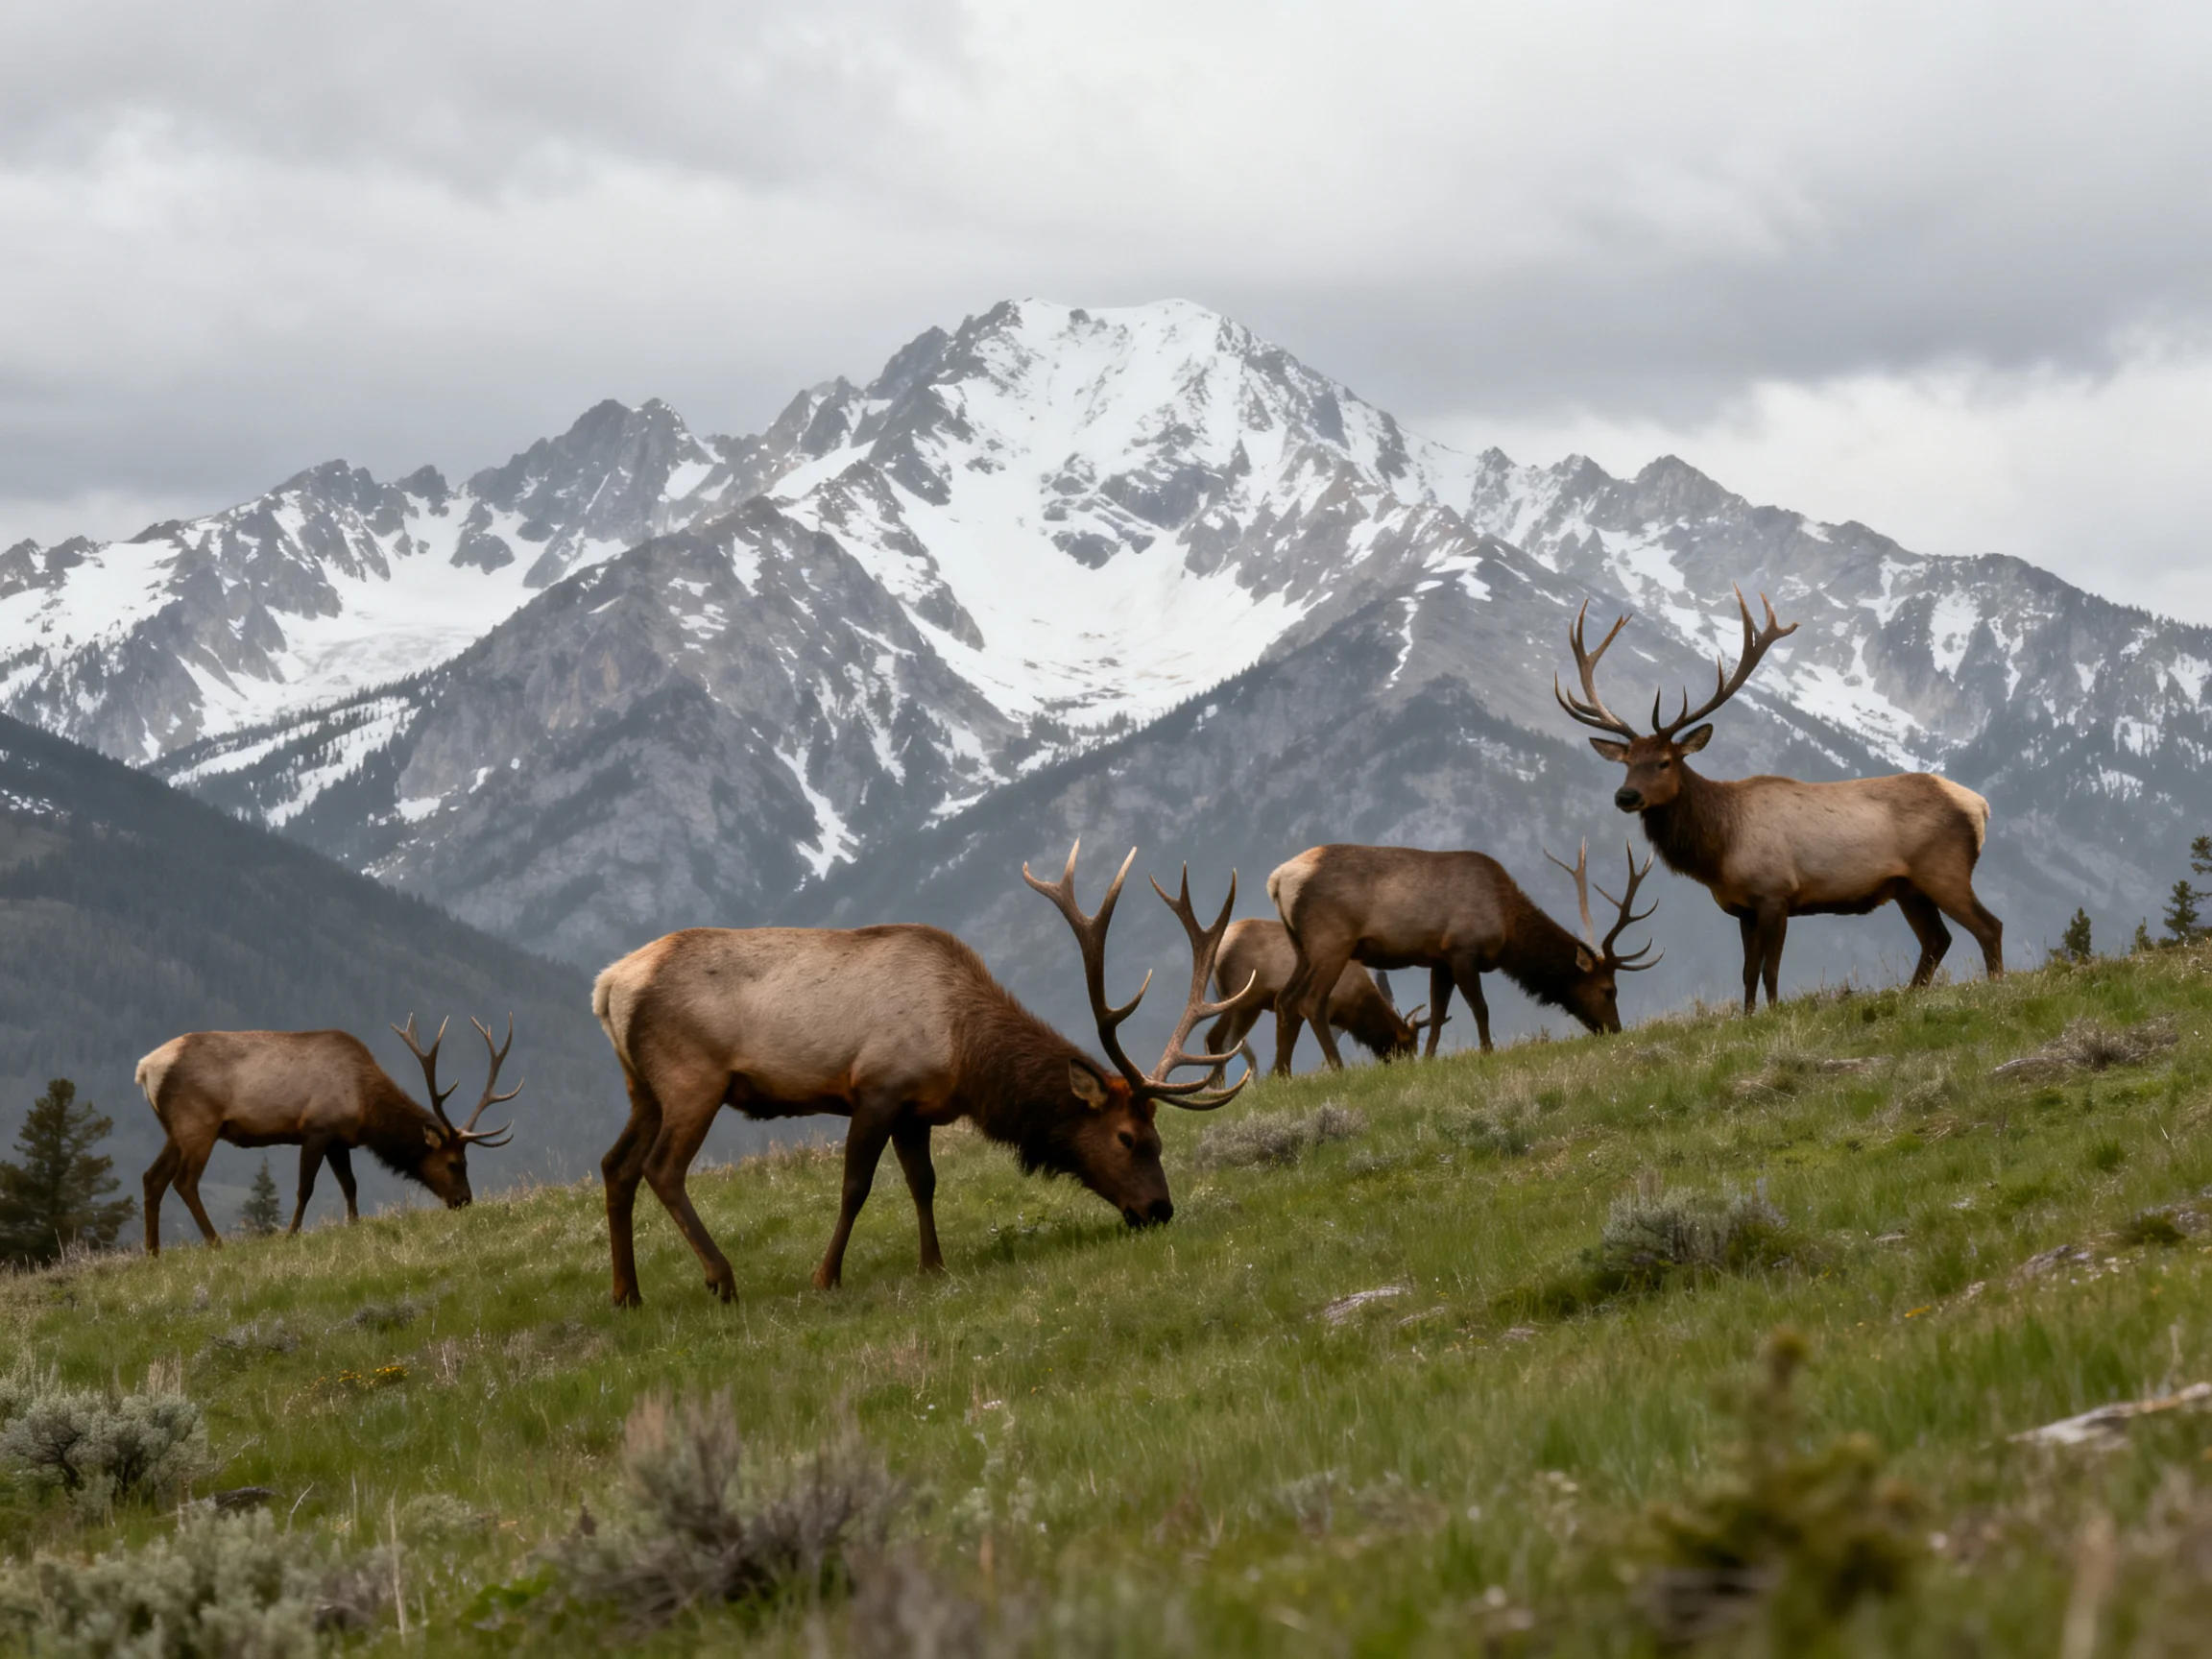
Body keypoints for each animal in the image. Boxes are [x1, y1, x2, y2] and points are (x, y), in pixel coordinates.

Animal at [136, 1016, 520, 1255]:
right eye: (454, 1162)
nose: (464, 1200)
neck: (365, 1105)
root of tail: (145, 1068)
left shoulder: (339, 1140)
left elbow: (350, 1185)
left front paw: (354, 1225)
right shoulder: (317, 1129)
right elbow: (305, 1188)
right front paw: (291, 1235)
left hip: (175, 1130)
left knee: (152, 1177)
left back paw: (153, 1253)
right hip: (198, 1124)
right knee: (184, 1181)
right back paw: (215, 1244)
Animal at [590, 842, 1252, 1306]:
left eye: (1158, 1138)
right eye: (1127, 1138)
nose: (1159, 1209)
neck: (964, 1052)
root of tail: (609, 985)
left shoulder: (915, 1111)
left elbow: (923, 1184)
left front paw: (932, 1264)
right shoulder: (876, 1089)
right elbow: (855, 1186)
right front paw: (825, 1276)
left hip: (640, 1088)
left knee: (616, 1166)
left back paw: (627, 1294)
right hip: (691, 1080)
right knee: (661, 1168)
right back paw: (721, 1279)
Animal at [1200, 919, 1435, 1079]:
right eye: (1407, 1043)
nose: (1410, 1068)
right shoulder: (1323, 1008)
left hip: (1248, 1007)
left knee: (1221, 1040)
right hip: (1238, 999)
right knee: (1216, 1038)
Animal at [1267, 839, 1658, 1069]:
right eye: (1608, 990)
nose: (1616, 1029)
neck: (1506, 925)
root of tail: (1277, 880)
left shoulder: (1438, 959)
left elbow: (1439, 1012)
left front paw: (1427, 1061)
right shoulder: (1462, 950)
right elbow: (1479, 1007)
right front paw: (1487, 1051)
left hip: (1301, 948)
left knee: (1285, 1001)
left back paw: (1283, 1074)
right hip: (1331, 942)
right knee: (1310, 1002)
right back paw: (1336, 1068)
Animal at [1555, 586, 2003, 1009]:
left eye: (1664, 762)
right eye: (1627, 762)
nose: (1626, 795)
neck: (1720, 849)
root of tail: (1980, 806)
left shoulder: (1776, 894)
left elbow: (1771, 970)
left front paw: (1772, 1012)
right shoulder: (1742, 908)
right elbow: (1748, 972)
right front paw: (1748, 1017)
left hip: (1943, 869)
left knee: (1988, 926)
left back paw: (1996, 987)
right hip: (1908, 887)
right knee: (1937, 940)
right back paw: (1912, 994)